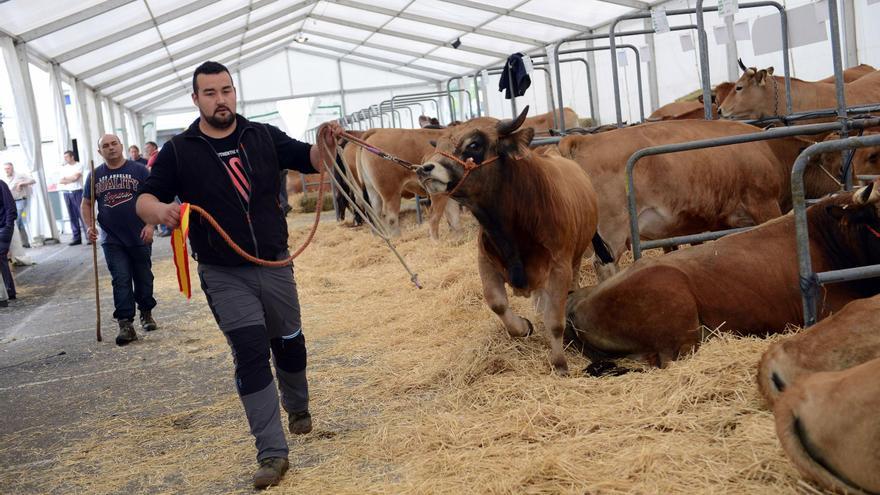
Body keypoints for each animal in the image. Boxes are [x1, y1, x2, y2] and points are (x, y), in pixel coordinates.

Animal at [414, 106, 608, 374]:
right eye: (440, 144)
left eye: (473, 144)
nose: (424, 169)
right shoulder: (485, 261)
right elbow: (497, 304)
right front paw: (524, 326)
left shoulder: (559, 268)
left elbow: (555, 321)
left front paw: (559, 363)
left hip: (576, 257)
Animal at [560, 119, 836, 280]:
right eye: (838, 160)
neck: (771, 151)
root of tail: (583, 140)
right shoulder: (764, 203)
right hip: (612, 232)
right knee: (603, 266)